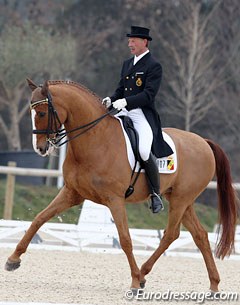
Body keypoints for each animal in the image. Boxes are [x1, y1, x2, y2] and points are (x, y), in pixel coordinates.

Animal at [4, 78, 237, 292]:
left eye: (42, 113)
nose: (40, 148)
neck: (95, 140)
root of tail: (204, 142)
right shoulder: (72, 193)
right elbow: (39, 219)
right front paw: (13, 259)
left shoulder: (114, 200)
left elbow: (125, 239)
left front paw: (133, 282)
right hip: (181, 200)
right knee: (199, 235)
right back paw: (213, 285)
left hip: (181, 200)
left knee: (170, 234)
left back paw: (142, 274)